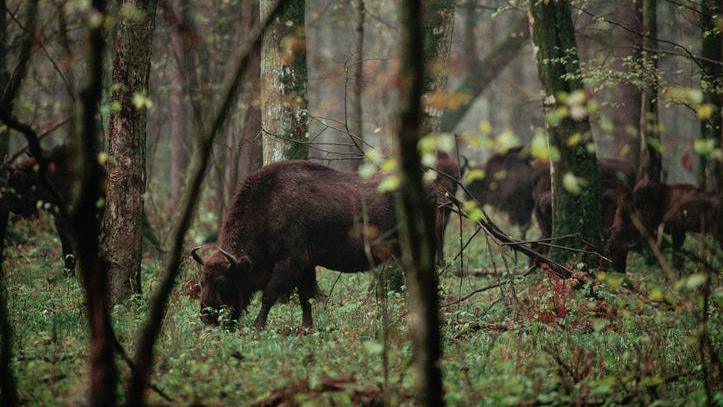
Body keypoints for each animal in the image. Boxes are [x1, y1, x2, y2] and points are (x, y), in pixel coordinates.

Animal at [191, 161, 442, 330]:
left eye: (223, 282)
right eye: (202, 281)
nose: (206, 317)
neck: (269, 207)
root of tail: (431, 187)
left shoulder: (290, 263)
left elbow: (269, 295)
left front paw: (257, 326)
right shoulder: (305, 266)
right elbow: (306, 297)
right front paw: (307, 327)